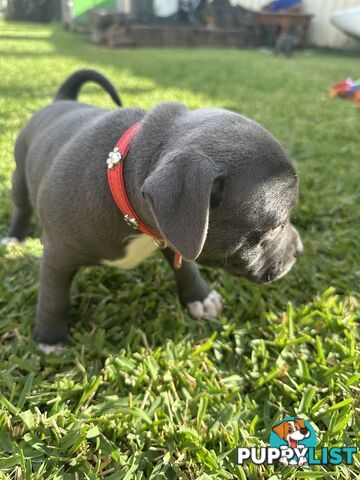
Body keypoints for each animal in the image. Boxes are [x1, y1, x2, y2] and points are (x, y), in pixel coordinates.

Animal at [1, 70, 302, 348]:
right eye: (275, 225)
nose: (299, 249)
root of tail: (62, 100)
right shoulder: (57, 254)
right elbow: (53, 293)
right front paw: (50, 337)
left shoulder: (175, 233)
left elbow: (186, 267)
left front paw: (200, 297)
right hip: (20, 174)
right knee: (21, 204)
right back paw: (15, 235)